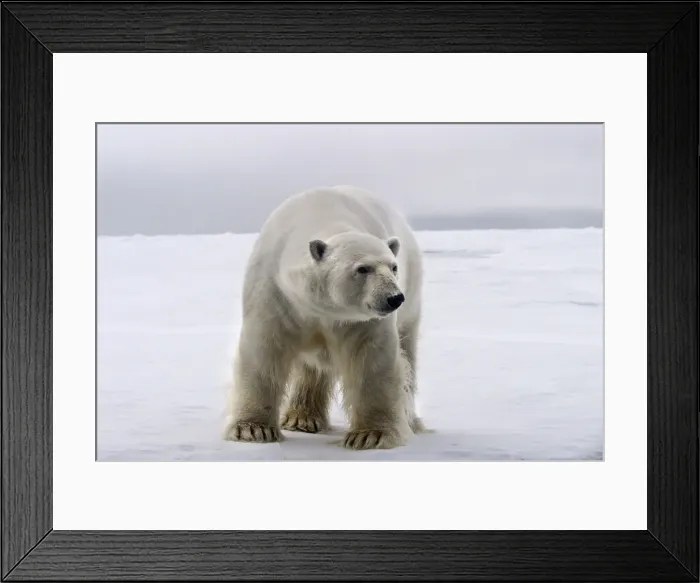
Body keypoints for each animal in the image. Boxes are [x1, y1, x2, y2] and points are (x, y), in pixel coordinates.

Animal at [223, 185, 427, 450]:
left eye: (393, 267)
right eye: (363, 268)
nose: (394, 297)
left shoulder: (360, 320)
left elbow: (372, 360)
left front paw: (371, 435)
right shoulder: (276, 293)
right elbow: (264, 350)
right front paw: (252, 429)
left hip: (412, 299)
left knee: (407, 353)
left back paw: (411, 420)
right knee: (311, 368)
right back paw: (301, 418)